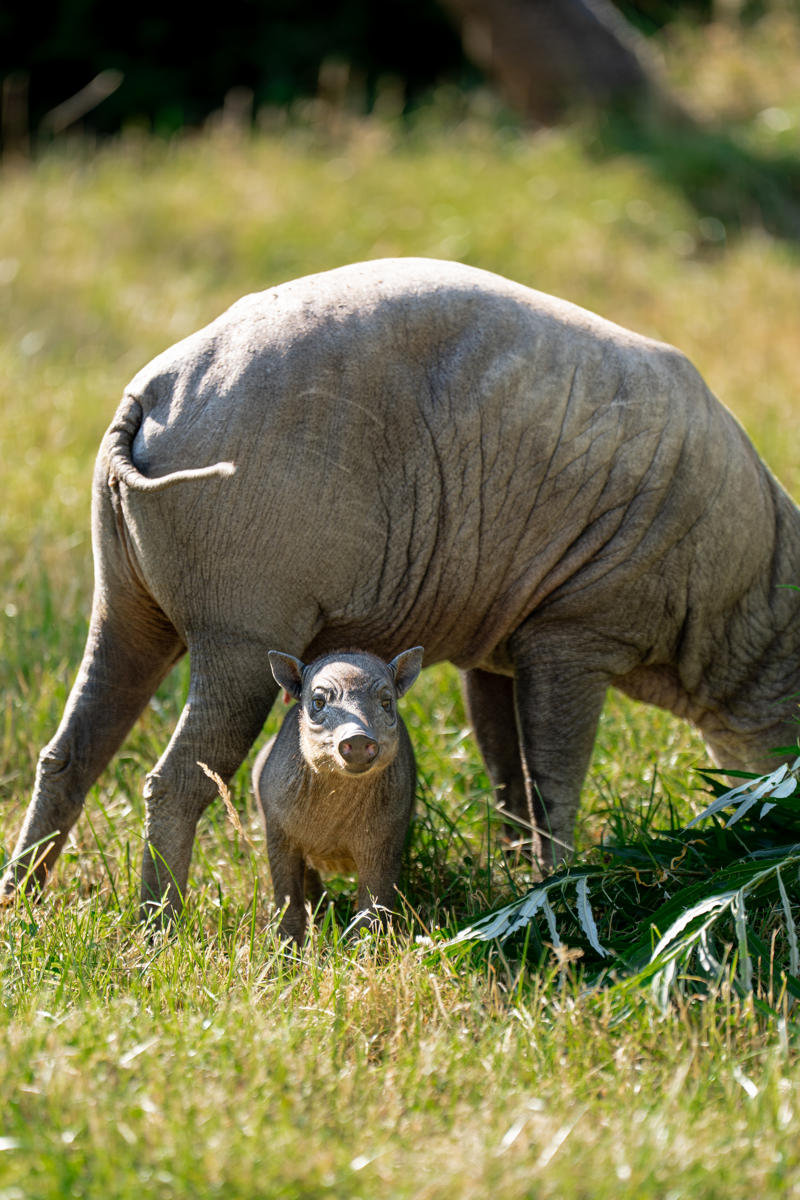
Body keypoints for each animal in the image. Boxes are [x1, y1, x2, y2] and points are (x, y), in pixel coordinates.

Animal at [253, 646, 423, 945]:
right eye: (318, 702)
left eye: (386, 702)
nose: (357, 739)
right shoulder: (277, 835)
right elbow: (287, 899)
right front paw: (286, 951)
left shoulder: (385, 841)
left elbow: (373, 906)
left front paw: (363, 950)